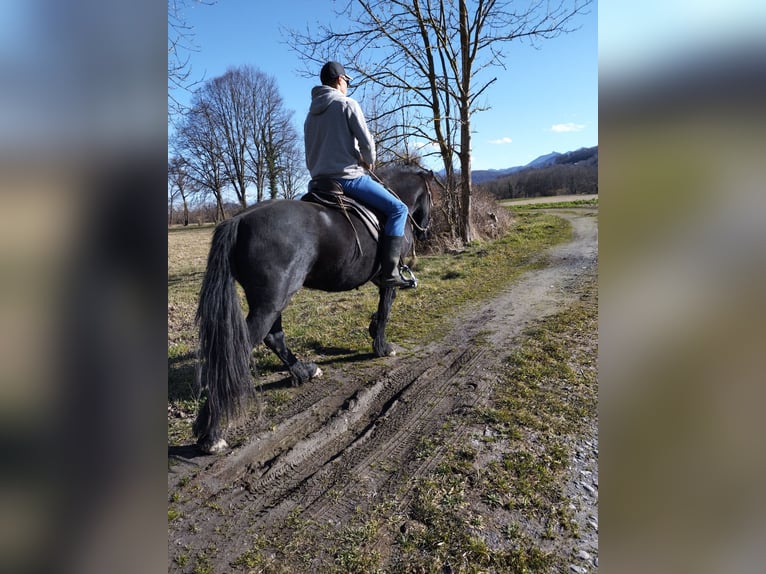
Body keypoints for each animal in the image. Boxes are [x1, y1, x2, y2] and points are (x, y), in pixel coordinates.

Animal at [192, 166, 434, 453]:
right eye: (432, 196)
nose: (426, 232)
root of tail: (239, 221)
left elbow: (380, 312)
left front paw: (373, 329)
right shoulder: (389, 279)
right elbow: (385, 309)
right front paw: (382, 347)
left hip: (270, 300)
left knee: (274, 337)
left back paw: (304, 371)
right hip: (271, 301)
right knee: (244, 348)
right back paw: (212, 434)